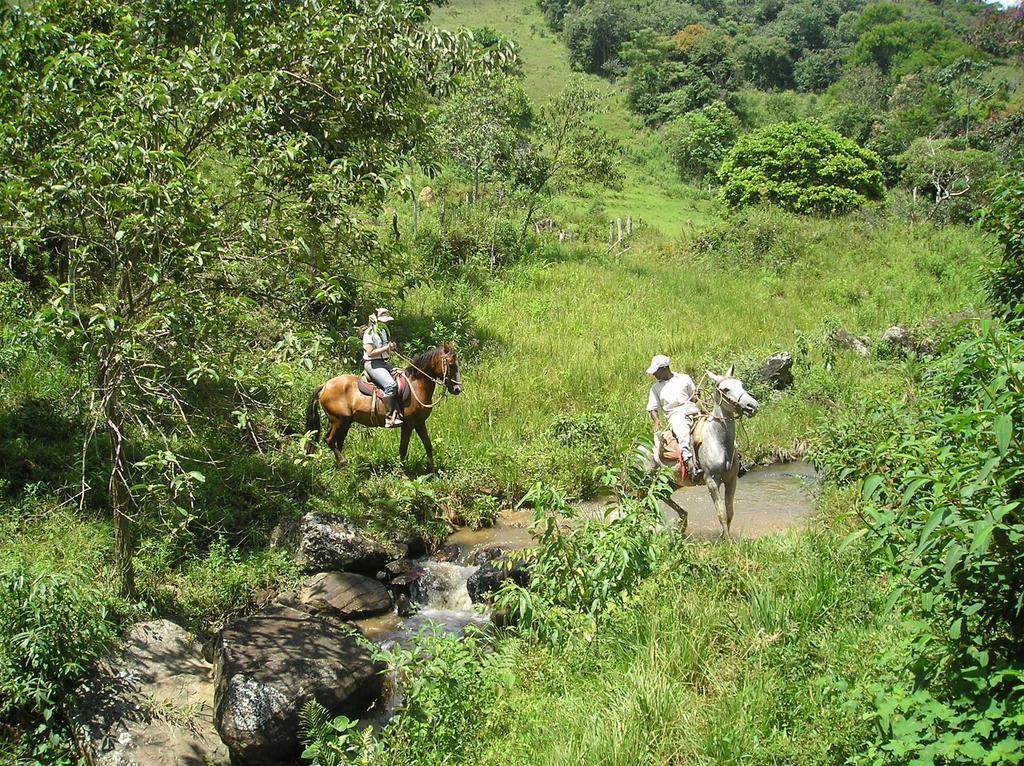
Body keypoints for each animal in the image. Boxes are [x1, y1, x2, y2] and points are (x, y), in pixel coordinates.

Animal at [303, 344, 464, 469]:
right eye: (450, 365)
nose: (457, 389)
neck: (416, 386)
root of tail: (325, 385)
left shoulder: (419, 423)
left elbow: (428, 445)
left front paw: (432, 470)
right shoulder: (408, 425)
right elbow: (403, 449)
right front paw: (403, 473)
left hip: (345, 422)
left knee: (338, 442)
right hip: (338, 420)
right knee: (329, 440)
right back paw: (342, 461)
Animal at [647, 366, 761, 536]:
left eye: (741, 384)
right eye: (726, 389)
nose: (752, 406)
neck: (717, 439)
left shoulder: (731, 480)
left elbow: (730, 511)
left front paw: (723, 536)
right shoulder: (711, 481)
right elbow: (721, 513)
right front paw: (727, 540)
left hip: (670, 482)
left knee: (661, 495)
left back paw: (682, 522)